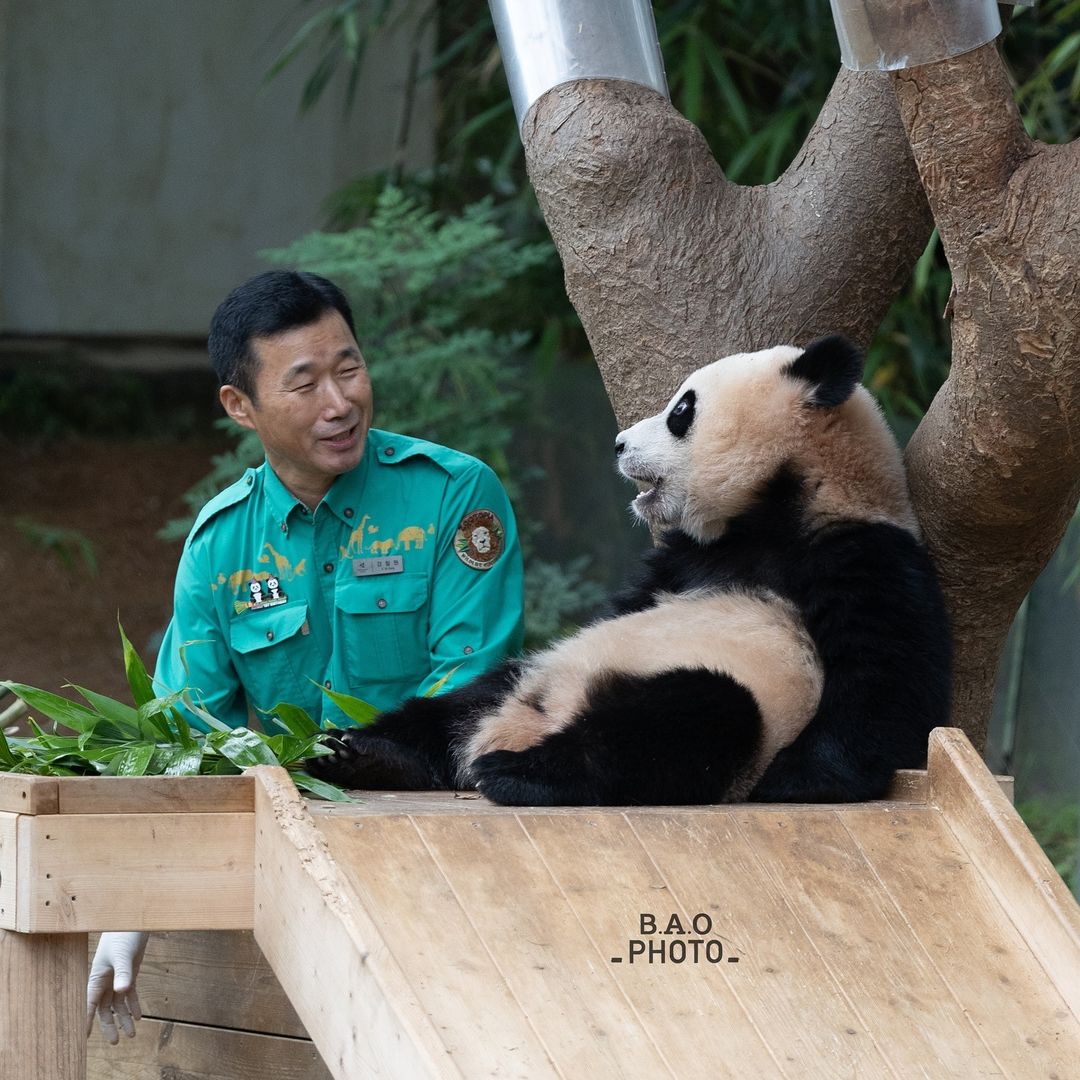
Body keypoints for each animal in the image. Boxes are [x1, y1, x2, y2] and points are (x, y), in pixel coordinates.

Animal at [308, 334, 950, 803]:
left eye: (682, 411)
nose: (618, 444)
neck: (771, 510)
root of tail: (532, 719)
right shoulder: (681, 563)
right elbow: (629, 602)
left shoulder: (862, 552)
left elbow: (883, 684)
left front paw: (796, 781)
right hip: (532, 671)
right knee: (452, 706)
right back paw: (358, 754)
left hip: (718, 700)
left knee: (685, 719)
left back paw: (519, 772)